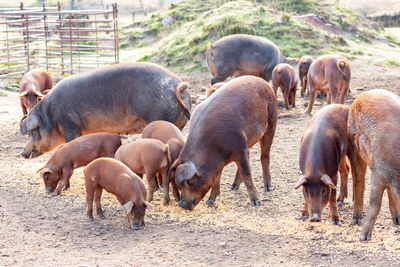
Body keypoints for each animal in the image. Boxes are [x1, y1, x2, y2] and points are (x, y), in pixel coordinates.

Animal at [19, 62, 192, 159]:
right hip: (180, 122)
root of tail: (177, 84)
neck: (50, 117)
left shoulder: (70, 125)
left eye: (33, 131)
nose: (22, 154)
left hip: (159, 116)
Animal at [167, 76, 276, 211]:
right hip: (249, 139)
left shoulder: (240, 147)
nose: (182, 205)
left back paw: (268, 188)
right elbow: (217, 177)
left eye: (189, 182)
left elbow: (247, 174)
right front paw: (210, 202)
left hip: (272, 120)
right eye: (179, 184)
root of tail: (263, 81)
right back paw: (233, 187)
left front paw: (256, 203)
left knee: (264, 156)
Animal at [346, 90, 400, 243]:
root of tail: (366, 93)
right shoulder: (378, 171)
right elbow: (375, 203)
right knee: (359, 182)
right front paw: (363, 238)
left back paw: (397, 221)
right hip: (354, 144)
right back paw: (356, 220)